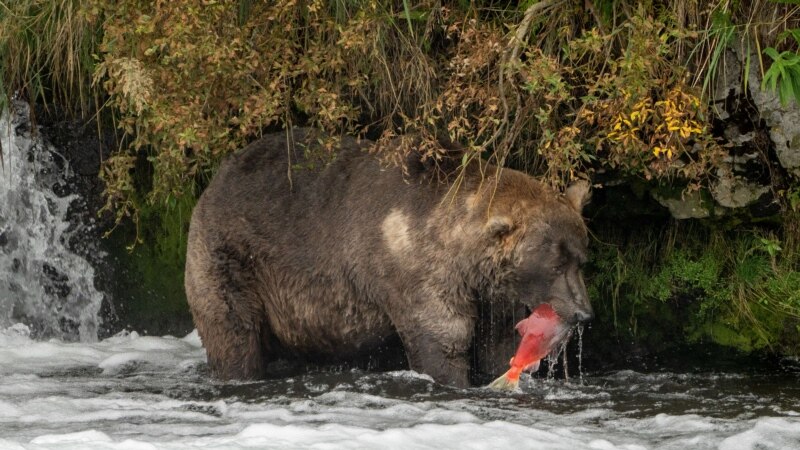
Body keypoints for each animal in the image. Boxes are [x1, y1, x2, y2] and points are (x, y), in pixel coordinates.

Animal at [184, 128, 592, 388]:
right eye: (555, 263)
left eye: (579, 259)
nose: (583, 312)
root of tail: (216, 177)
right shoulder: (417, 273)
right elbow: (443, 341)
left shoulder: (492, 293)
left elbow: (497, 343)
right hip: (233, 257)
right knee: (234, 332)